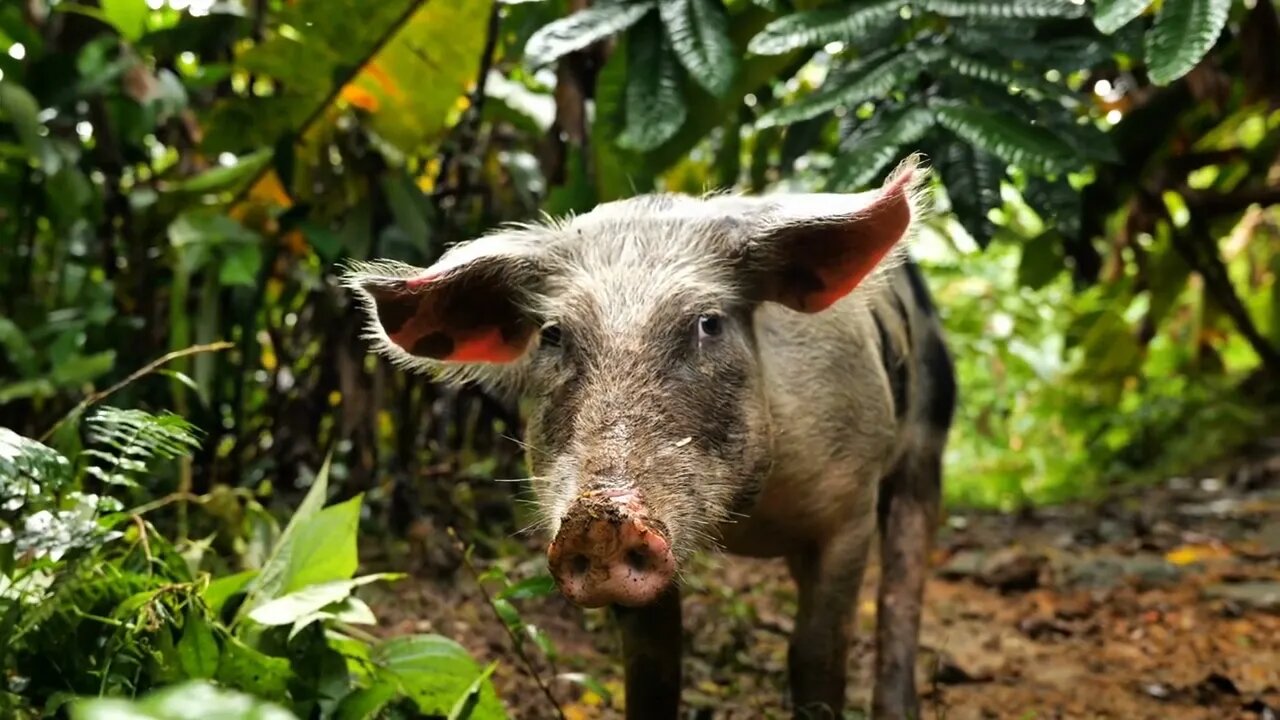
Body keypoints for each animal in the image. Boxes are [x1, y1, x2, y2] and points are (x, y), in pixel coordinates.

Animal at [345, 158, 957, 717]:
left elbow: (816, 658)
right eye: (553, 335)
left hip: (928, 439)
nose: (598, 518)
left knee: (904, 583)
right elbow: (654, 669)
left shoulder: (849, 505)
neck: (745, 517)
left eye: (709, 323)